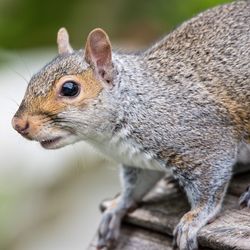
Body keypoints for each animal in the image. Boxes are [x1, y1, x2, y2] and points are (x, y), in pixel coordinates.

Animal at [12, 0, 250, 250]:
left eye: (69, 89)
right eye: (32, 79)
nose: (17, 124)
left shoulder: (204, 142)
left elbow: (209, 187)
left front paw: (193, 219)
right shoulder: (140, 163)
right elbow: (135, 190)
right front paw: (117, 208)